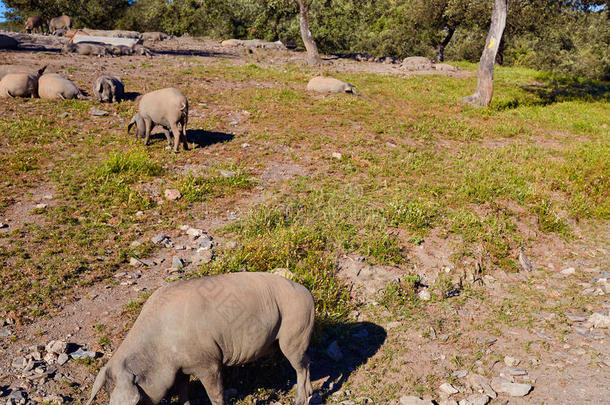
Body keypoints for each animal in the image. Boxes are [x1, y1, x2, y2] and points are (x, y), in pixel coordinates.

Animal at [85, 272, 314, 404]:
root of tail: (308, 292)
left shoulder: (209, 363)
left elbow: (215, 394)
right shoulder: (180, 369)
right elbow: (183, 392)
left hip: (294, 332)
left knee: (300, 366)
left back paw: (300, 400)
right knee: (306, 362)